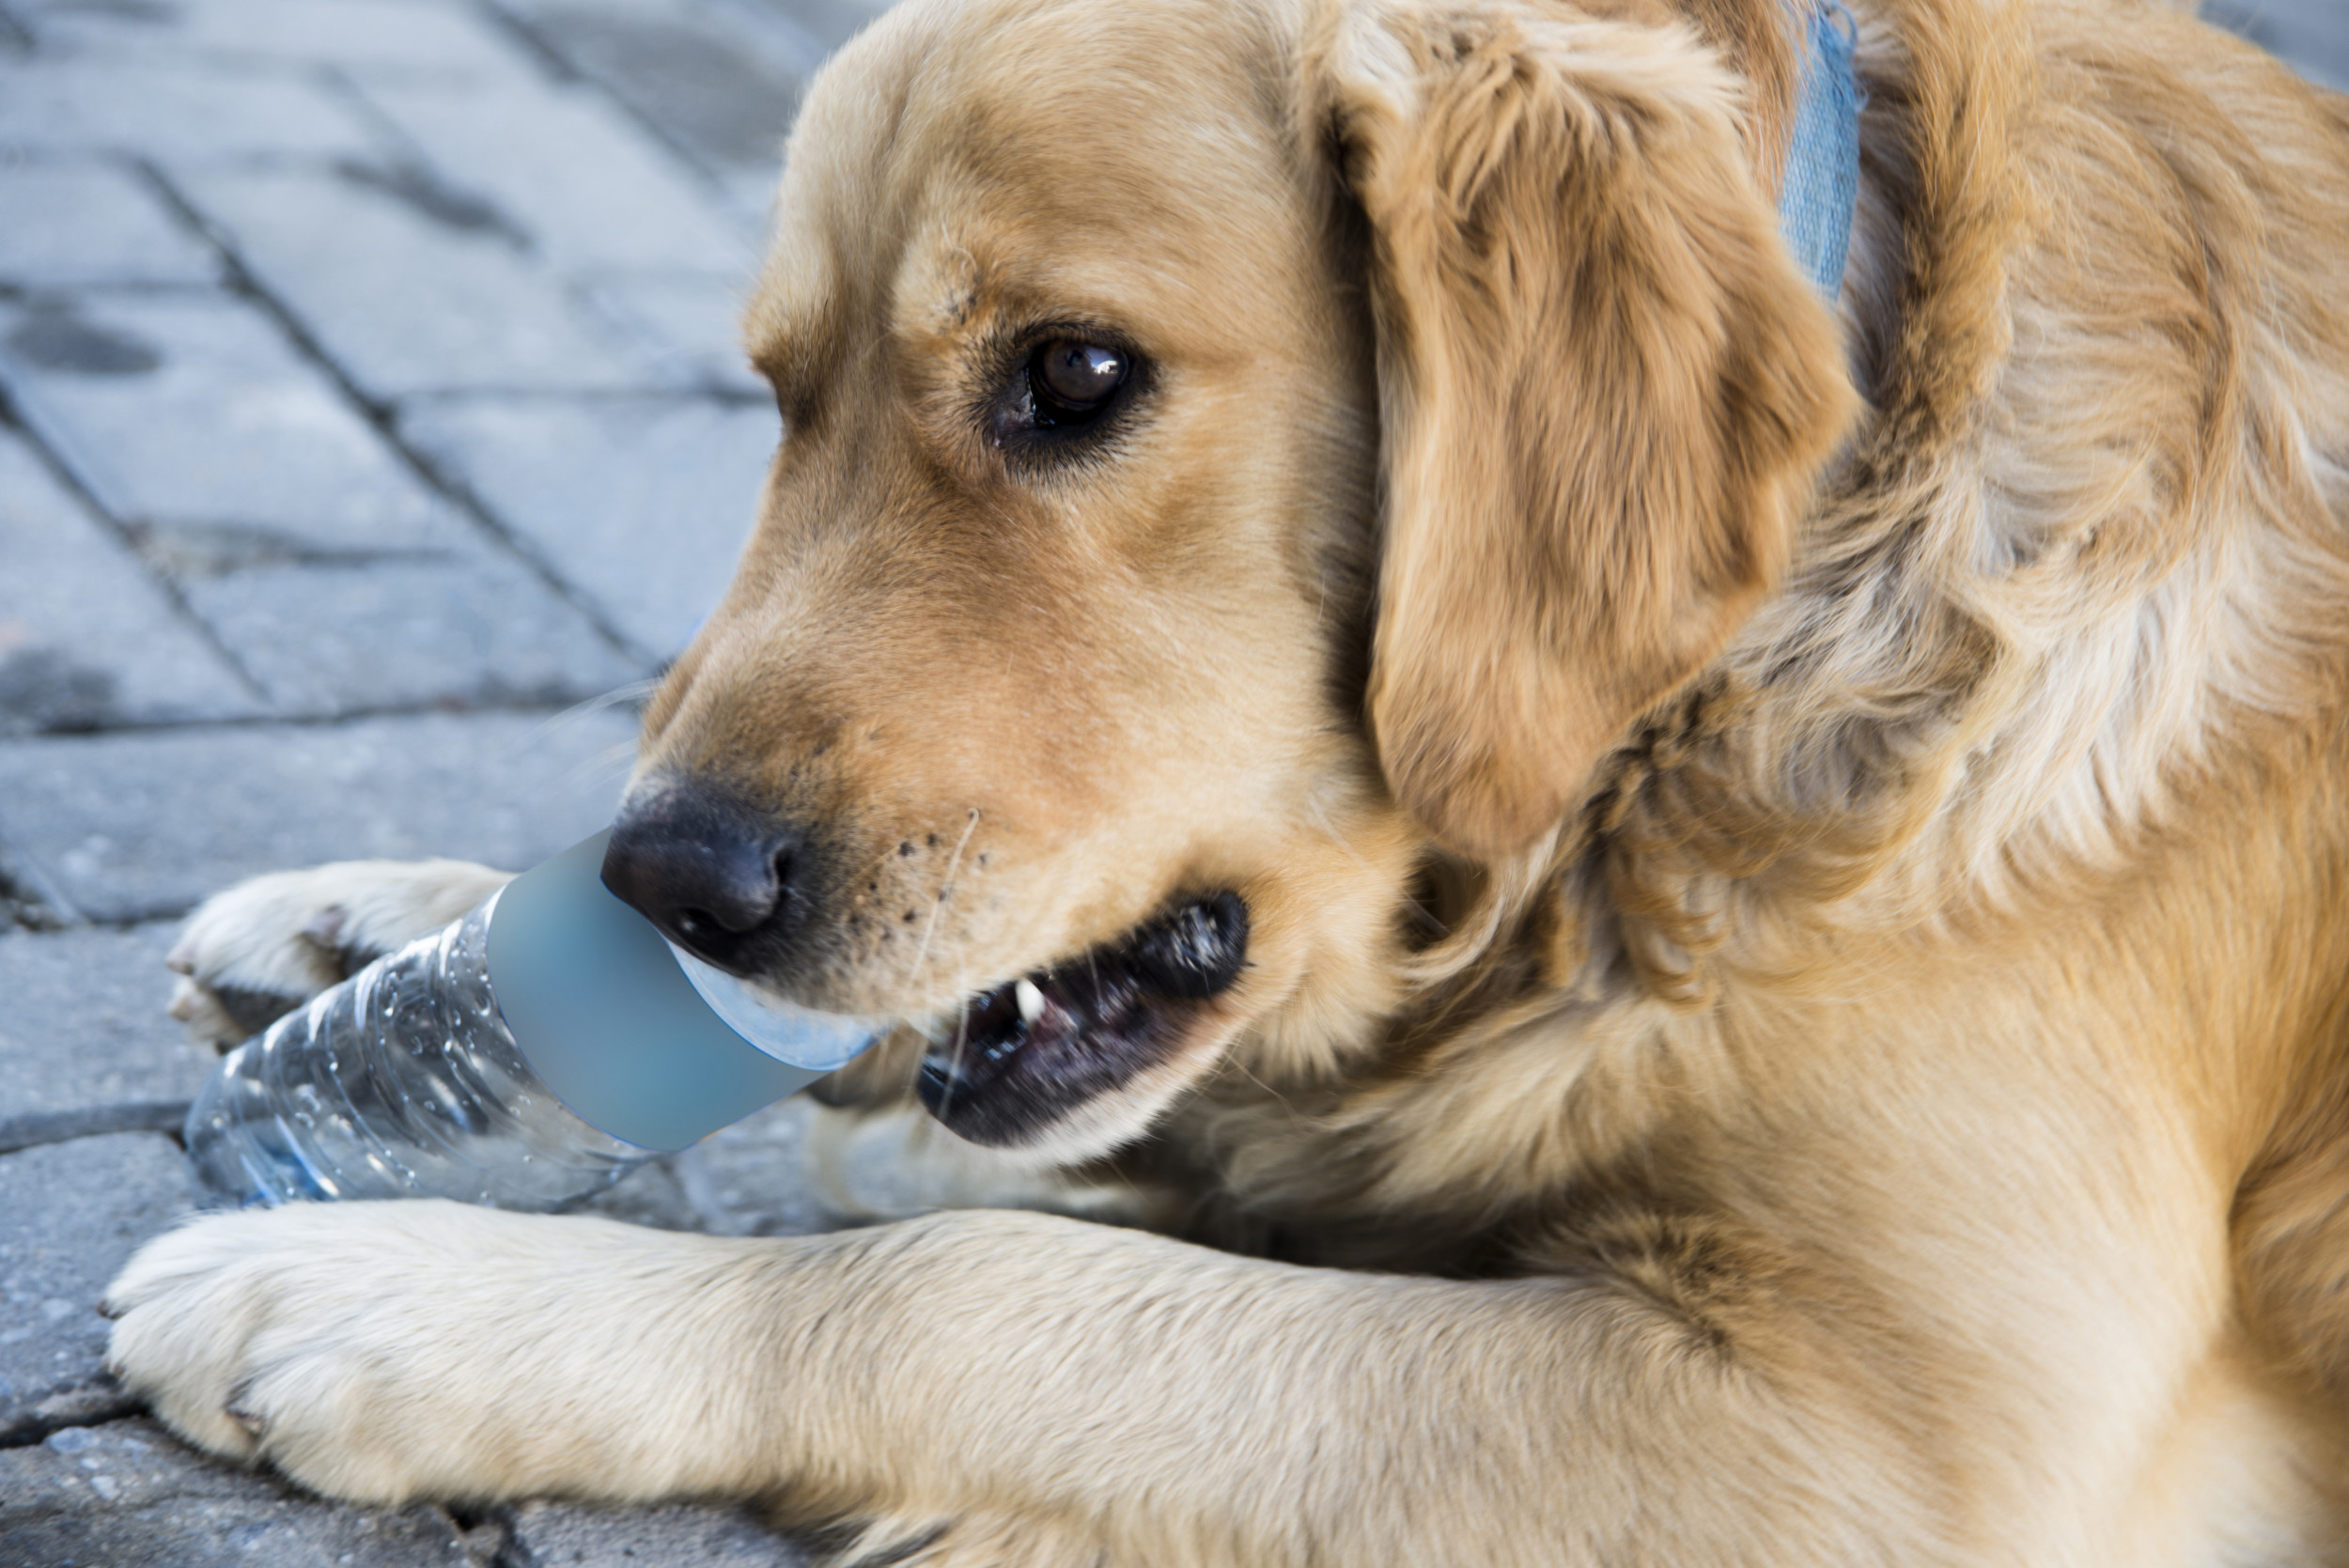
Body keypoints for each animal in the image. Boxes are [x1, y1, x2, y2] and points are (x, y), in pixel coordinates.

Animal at [101, 0, 2349, 1559]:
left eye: (1073, 374)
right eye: (779, 394)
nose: (670, 885)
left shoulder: (1895, 1436)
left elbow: (970, 1285)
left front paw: (429, 1298)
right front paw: (407, 930)